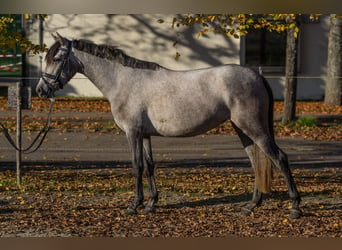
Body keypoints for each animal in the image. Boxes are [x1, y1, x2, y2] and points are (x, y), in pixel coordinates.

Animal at [36, 33, 300, 219]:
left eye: (56, 58)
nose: (41, 90)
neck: (123, 80)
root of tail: (256, 75)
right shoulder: (144, 135)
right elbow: (150, 166)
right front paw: (151, 203)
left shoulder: (132, 133)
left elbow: (136, 166)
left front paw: (134, 205)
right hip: (242, 129)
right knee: (256, 163)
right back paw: (250, 206)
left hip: (254, 128)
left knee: (279, 158)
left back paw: (295, 207)